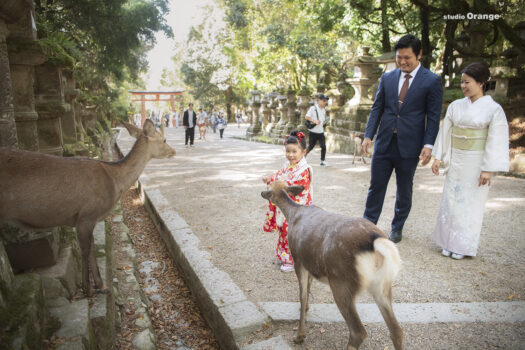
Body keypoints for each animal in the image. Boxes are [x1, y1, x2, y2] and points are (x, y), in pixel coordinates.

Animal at [0, 119, 176, 296]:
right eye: (164, 140)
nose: (174, 151)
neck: (114, 182)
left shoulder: (90, 219)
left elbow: (92, 247)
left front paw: (101, 286)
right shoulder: (86, 215)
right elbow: (85, 250)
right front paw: (88, 288)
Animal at [260, 182, 402, 348]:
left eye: (268, 188)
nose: (261, 193)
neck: (293, 213)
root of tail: (376, 242)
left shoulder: (298, 258)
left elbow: (302, 294)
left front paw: (299, 336)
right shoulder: (310, 262)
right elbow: (308, 286)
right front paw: (306, 308)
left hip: (341, 282)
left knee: (358, 332)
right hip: (383, 285)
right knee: (396, 330)